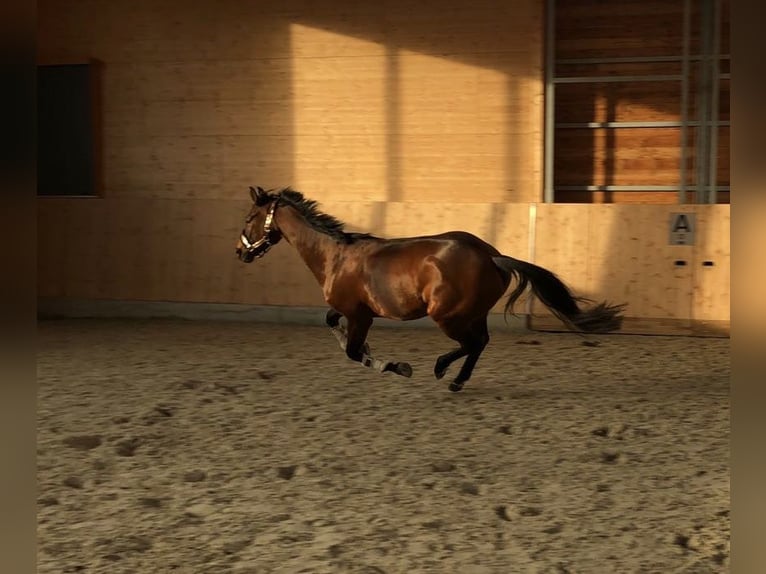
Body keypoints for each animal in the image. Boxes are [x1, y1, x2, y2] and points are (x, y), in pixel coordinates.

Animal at [237, 187, 628, 394]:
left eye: (249, 219)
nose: (241, 253)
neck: (334, 255)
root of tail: (492, 255)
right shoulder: (351, 311)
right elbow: (334, 326)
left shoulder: (361, 316)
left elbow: (353, 352)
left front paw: (396, 366)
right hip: (472, 313)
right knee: (480, 343)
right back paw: (456, 380)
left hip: (447, 315)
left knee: (471, 343)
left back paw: (443, 370)